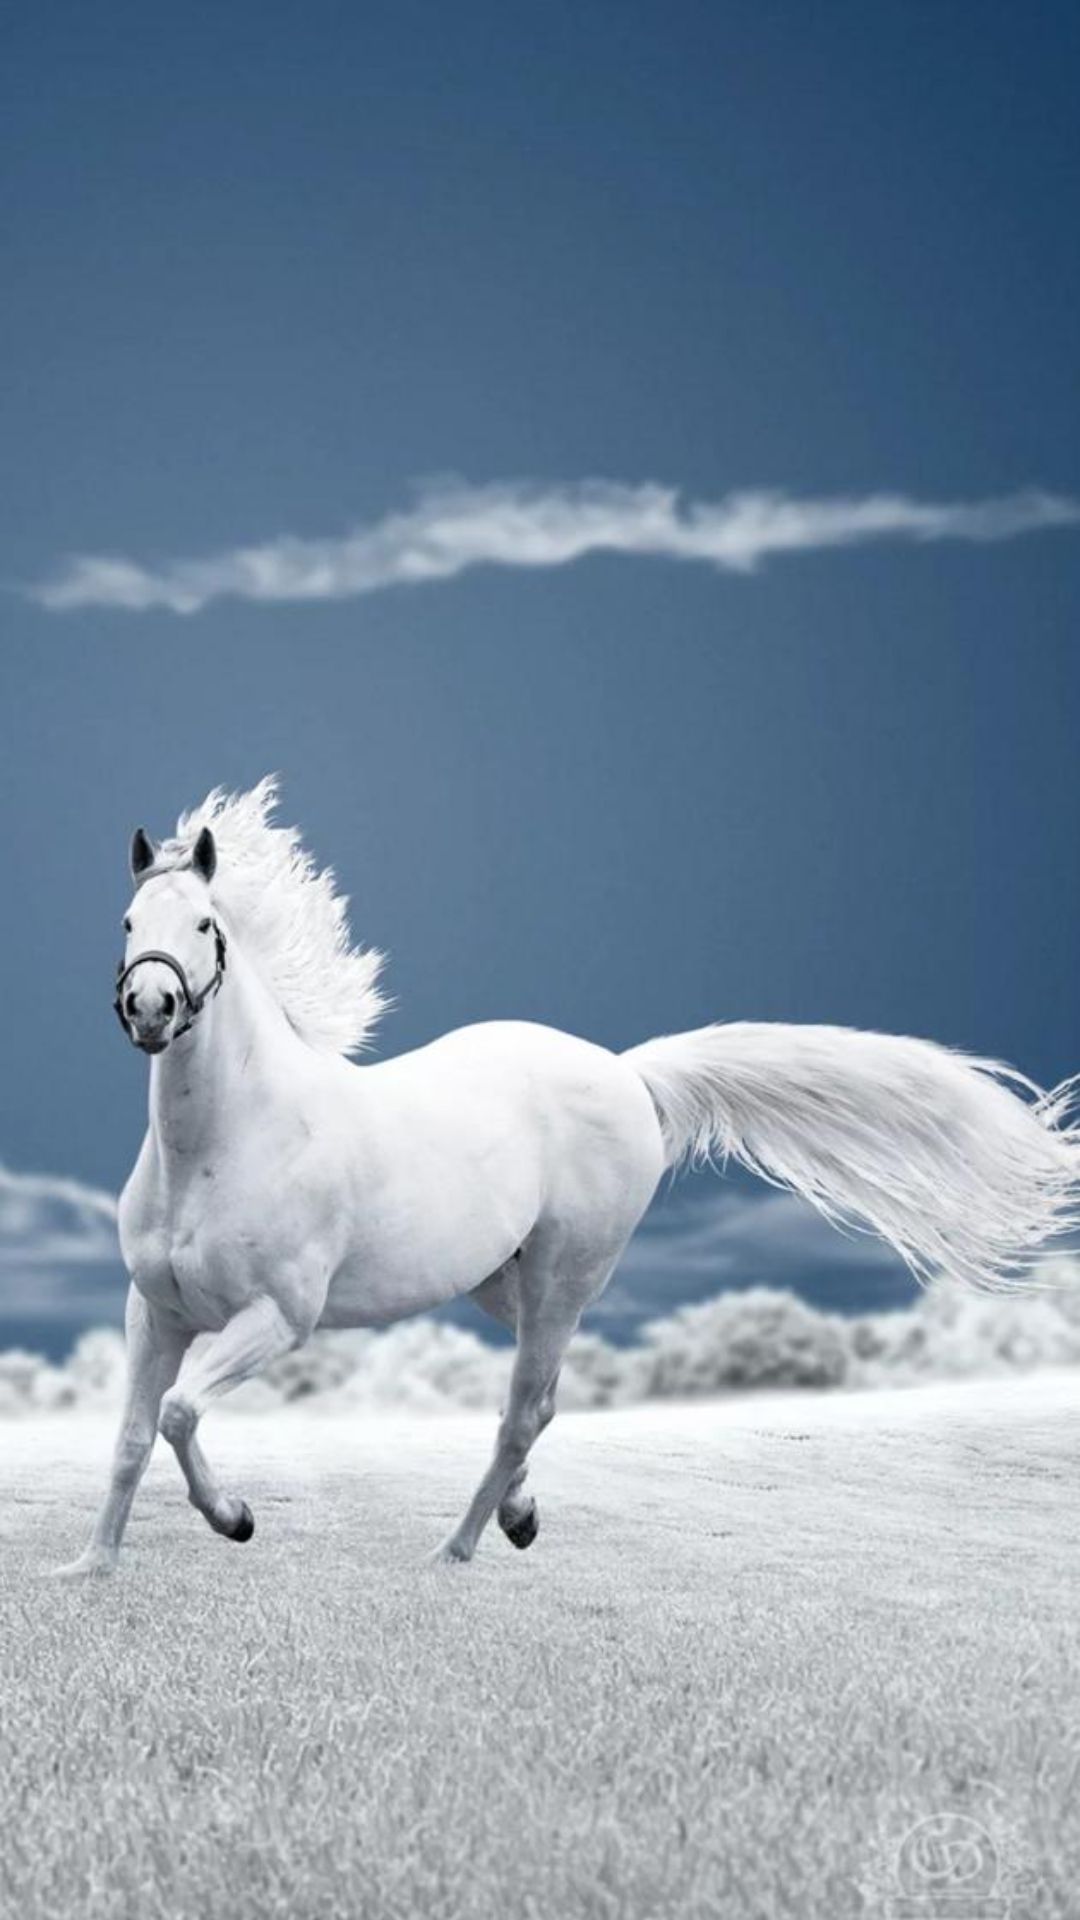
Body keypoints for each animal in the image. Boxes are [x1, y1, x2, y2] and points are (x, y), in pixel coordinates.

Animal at [54, 778, 1080, 1576]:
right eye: (128, 921)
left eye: (205, 923)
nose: (151, 1007)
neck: (223, 1145)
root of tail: (628, 1072)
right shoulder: (157, 1313)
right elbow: (132, 1437)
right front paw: (92, 1566)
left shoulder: (278, 1317)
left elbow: (180, 1412)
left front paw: (234, 1520)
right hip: (500, 1279)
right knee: (540, 1400)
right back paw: (518, 1516)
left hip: (563, 1273)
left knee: (523, 1408)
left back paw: (458, 1549)